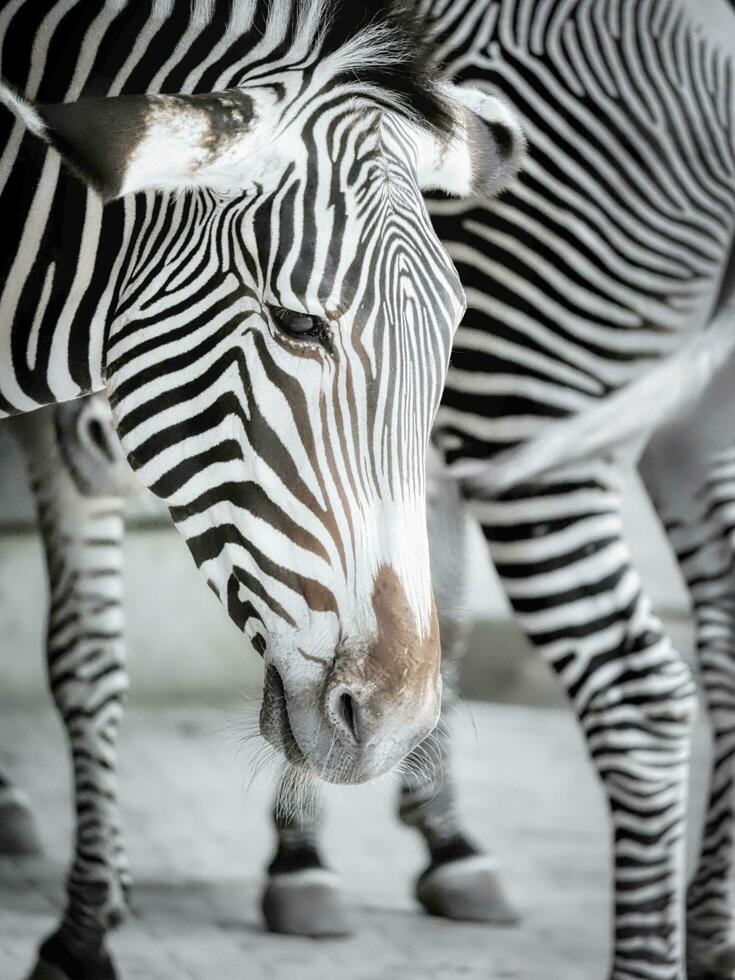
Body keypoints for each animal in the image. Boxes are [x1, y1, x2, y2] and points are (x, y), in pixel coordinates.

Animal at [0, 1, 524, 980]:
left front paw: (90, 918)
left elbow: (89, 657)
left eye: (451, 336)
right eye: (295, 322)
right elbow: (79, 656)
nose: (393, 726)